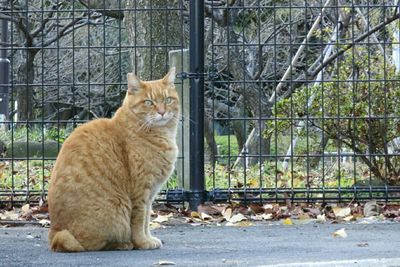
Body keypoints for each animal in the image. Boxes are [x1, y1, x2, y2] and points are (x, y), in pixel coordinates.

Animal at [47, 68, 179, 252]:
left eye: (168, 100)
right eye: (148, 102)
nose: (162, 112)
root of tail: (55, 234)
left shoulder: (150, 194)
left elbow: (147, 220)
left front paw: (149, 238)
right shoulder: (141, 193)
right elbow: (139, 222)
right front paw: (143, 242)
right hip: (118, 210)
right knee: (90, 244)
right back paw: (124, 244)